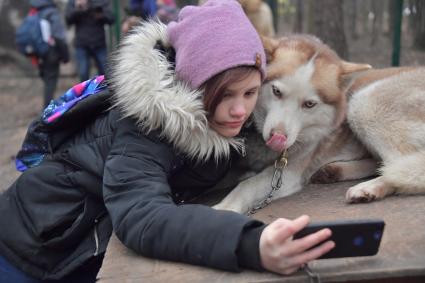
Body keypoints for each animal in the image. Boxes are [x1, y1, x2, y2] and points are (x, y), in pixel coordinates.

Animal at [214, 34, 424, 214]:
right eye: (276, 91)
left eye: (309, 104)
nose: (278, 137)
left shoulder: (287, 173)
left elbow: (246, 185)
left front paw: (225, 207)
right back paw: (334, 172)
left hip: (362, 104)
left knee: (408, 165)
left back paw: (369, 188)